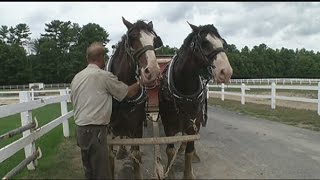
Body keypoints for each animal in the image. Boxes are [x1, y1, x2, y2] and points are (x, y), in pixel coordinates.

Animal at [107, 16, 162, 179]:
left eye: (155, 41)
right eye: (132, 38)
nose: (153, 72)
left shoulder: (137, 126)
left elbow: (137, 155)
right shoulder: (108, 131)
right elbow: (109, 159)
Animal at [159, 22, 232, 179]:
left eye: (222, 42)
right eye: (205, 43)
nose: (226, 72)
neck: (185, 92)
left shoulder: (195, 123)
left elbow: (189, 151)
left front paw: (188, 173)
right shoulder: (168, 124)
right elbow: (170, 150)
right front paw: (170, 172)